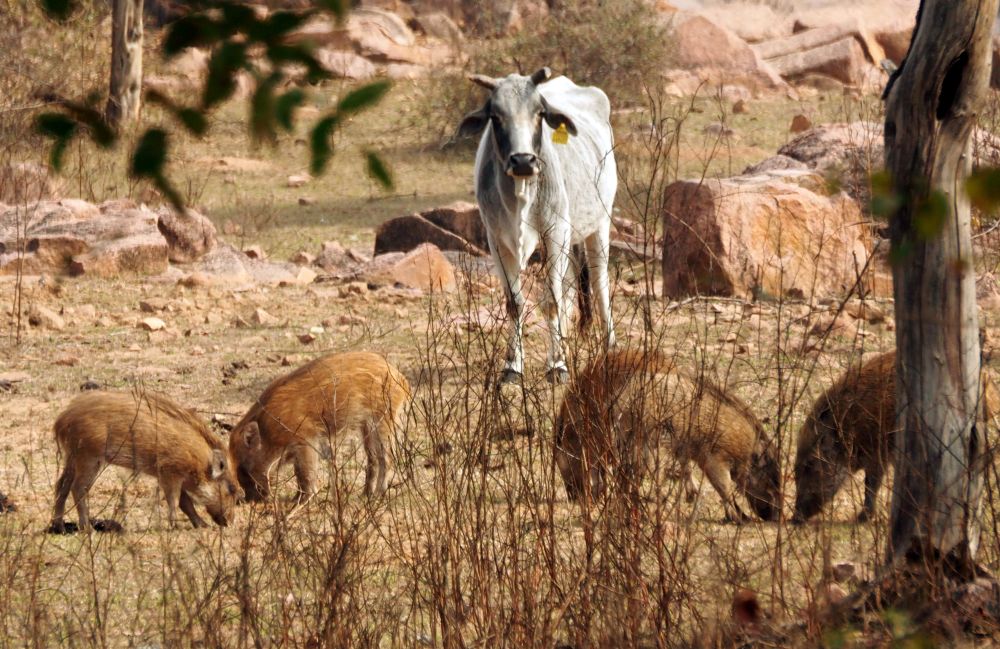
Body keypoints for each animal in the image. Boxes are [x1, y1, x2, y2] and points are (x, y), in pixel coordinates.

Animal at [456, 68, 612, 382]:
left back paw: (609, 345)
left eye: (539, 112)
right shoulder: (497, 240)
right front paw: (512, 366)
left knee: (599, 281)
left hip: (599, 223)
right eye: (495, 116)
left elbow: (551, 300)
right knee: (569, 287)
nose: (523, 160)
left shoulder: (555, 232)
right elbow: (515, 303)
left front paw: (558, 366)